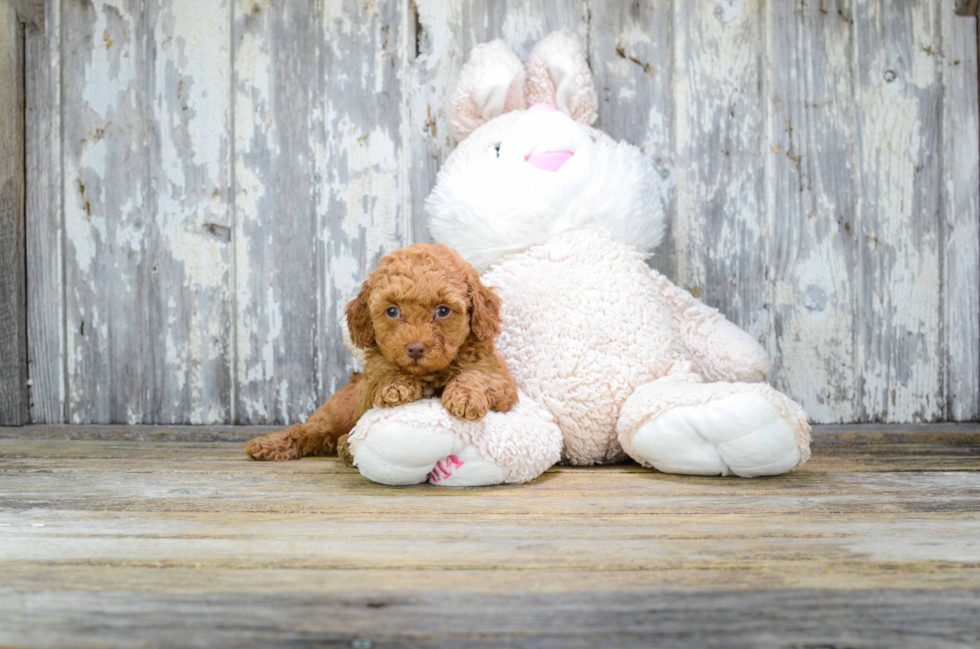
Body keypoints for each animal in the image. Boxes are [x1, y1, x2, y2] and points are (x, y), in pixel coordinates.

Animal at [243, 242, 520, 460]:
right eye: (392, 311)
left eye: (443, 311)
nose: (415, 348)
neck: (428, 375)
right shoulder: (370, 385)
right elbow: (384, 377)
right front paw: (397, 387)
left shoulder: (500, 380)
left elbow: (477, 376)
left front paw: (465, 396)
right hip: (335, 413)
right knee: (306, 430)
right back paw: (267, 445)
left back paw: (344, 448)